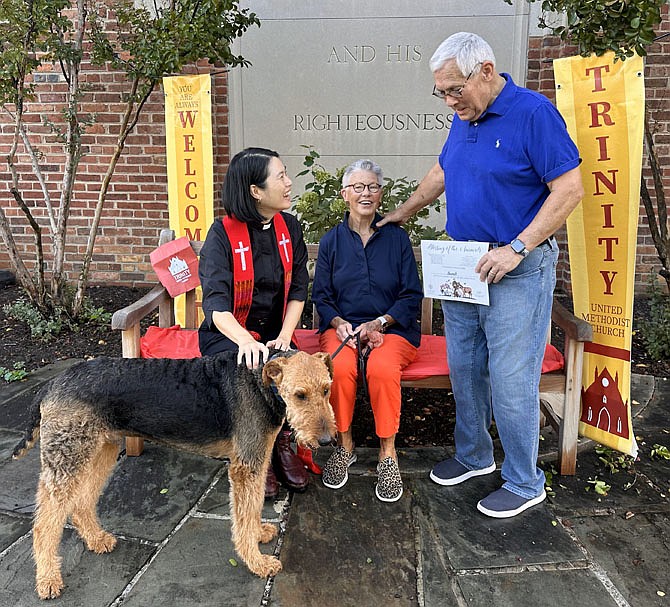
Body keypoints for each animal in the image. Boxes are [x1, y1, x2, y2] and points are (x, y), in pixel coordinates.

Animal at [14, 350, 342, 600]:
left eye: (327, 389)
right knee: (45, 523)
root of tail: (52, 384)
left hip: (101, 449)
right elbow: (245, 514)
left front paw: (260, 532)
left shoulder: (256, 462)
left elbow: (252, 507)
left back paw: (97, 539)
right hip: (69, 456)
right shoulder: (245, 466)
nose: (328, 440)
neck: (261, 383)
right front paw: (258, 563)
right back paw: (48, 580)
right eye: (300, 395)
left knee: (81, 503)